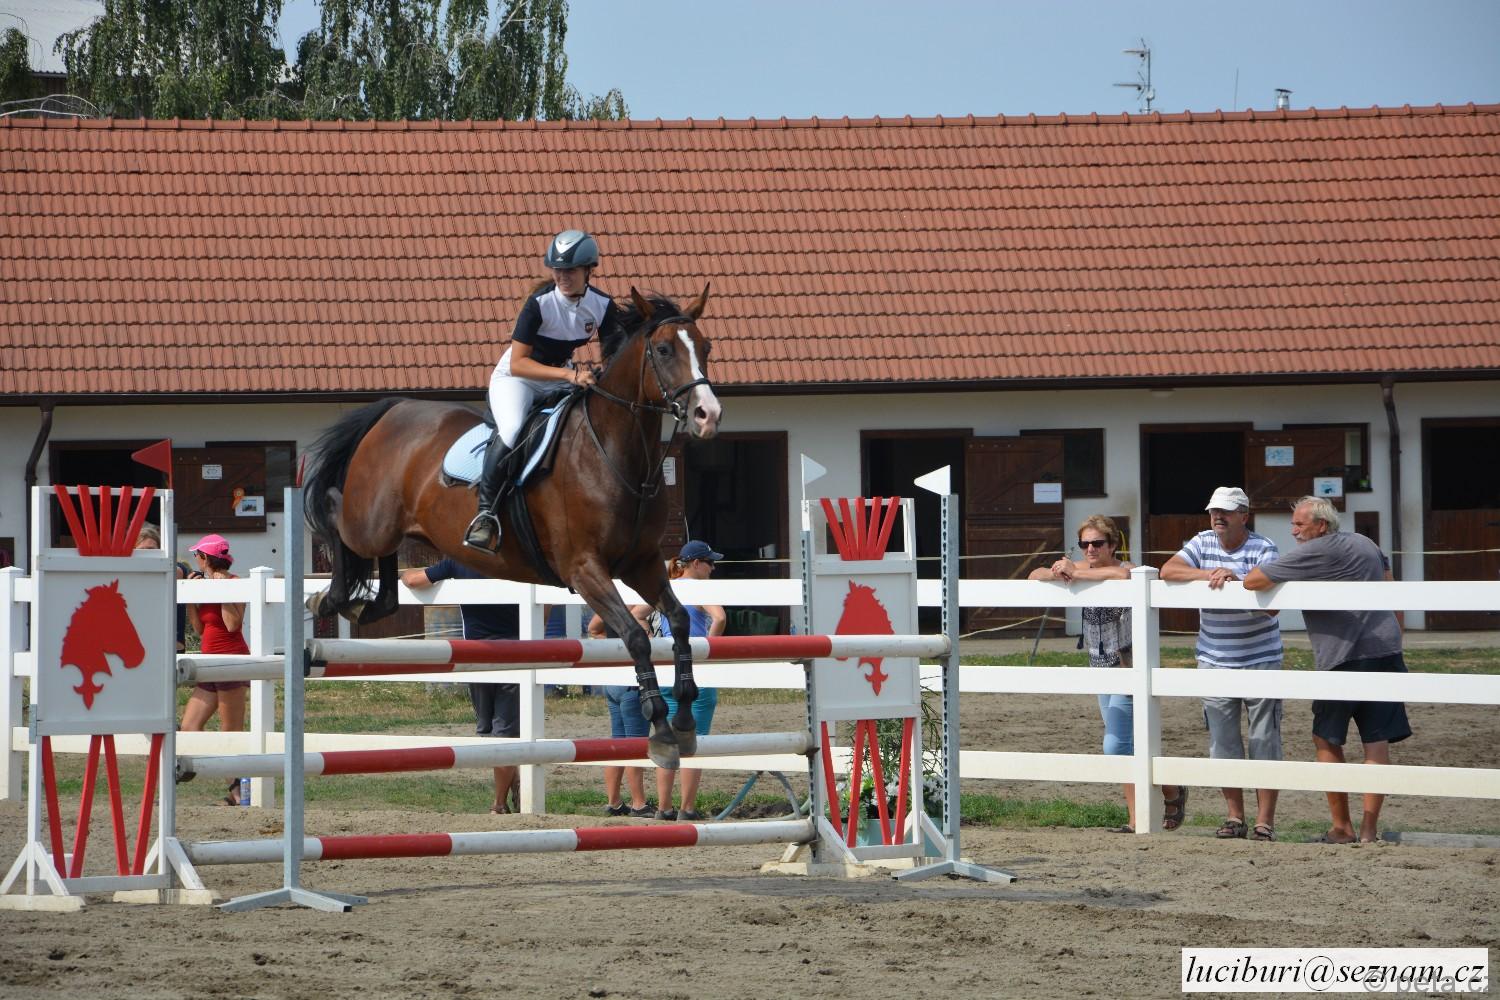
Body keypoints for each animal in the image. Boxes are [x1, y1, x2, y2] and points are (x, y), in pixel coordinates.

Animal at [301, 287, 722, 768]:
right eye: (665, 350)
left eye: (706, 347)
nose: (708, 415)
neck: (616, 453)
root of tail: (396, 409)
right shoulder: (584, 569)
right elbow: (635, 636)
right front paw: (661, 731)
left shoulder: (642, 564)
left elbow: (679, 619)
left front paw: (685, 720)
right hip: (368, 521)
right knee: (336, 515)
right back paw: (328, 597)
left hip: (392, 525)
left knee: (385, 575)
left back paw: (364, 606)